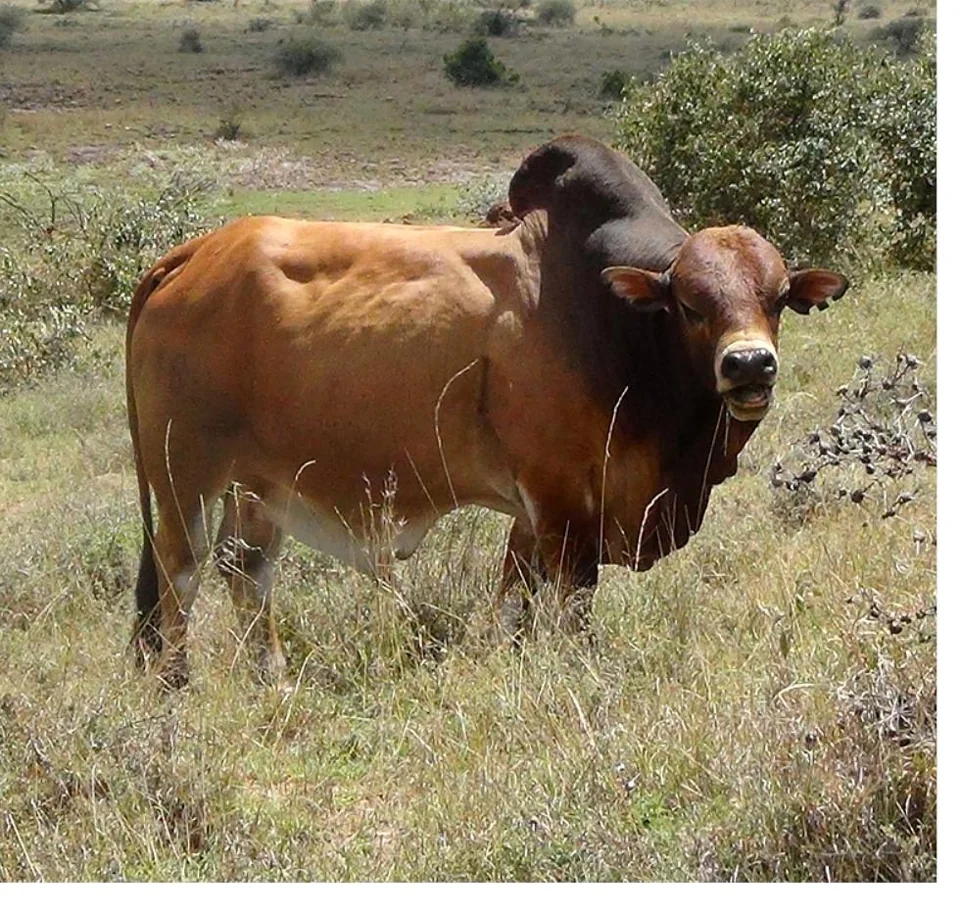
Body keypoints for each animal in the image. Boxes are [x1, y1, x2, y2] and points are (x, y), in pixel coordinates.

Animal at [126, 135, 848, 688]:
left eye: (777, 299)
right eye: (692, 305)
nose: (749, 365)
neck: (608, 320)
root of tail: (190, 255)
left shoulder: (533, 513)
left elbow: (512, 605)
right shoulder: (562, 501)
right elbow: (574, 605)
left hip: (259, 484)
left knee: (245, 570)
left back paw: (271, 679)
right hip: (186, 475)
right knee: (180, 573)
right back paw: (176, 686)